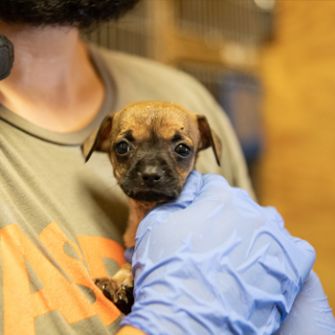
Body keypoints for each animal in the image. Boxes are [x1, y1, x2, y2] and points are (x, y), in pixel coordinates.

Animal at [81, 101, 223, 316]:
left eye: (183, 149)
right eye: (122, 147)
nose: (150, 173)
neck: (146, 211)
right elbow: (128, 266)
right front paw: (116, 283)